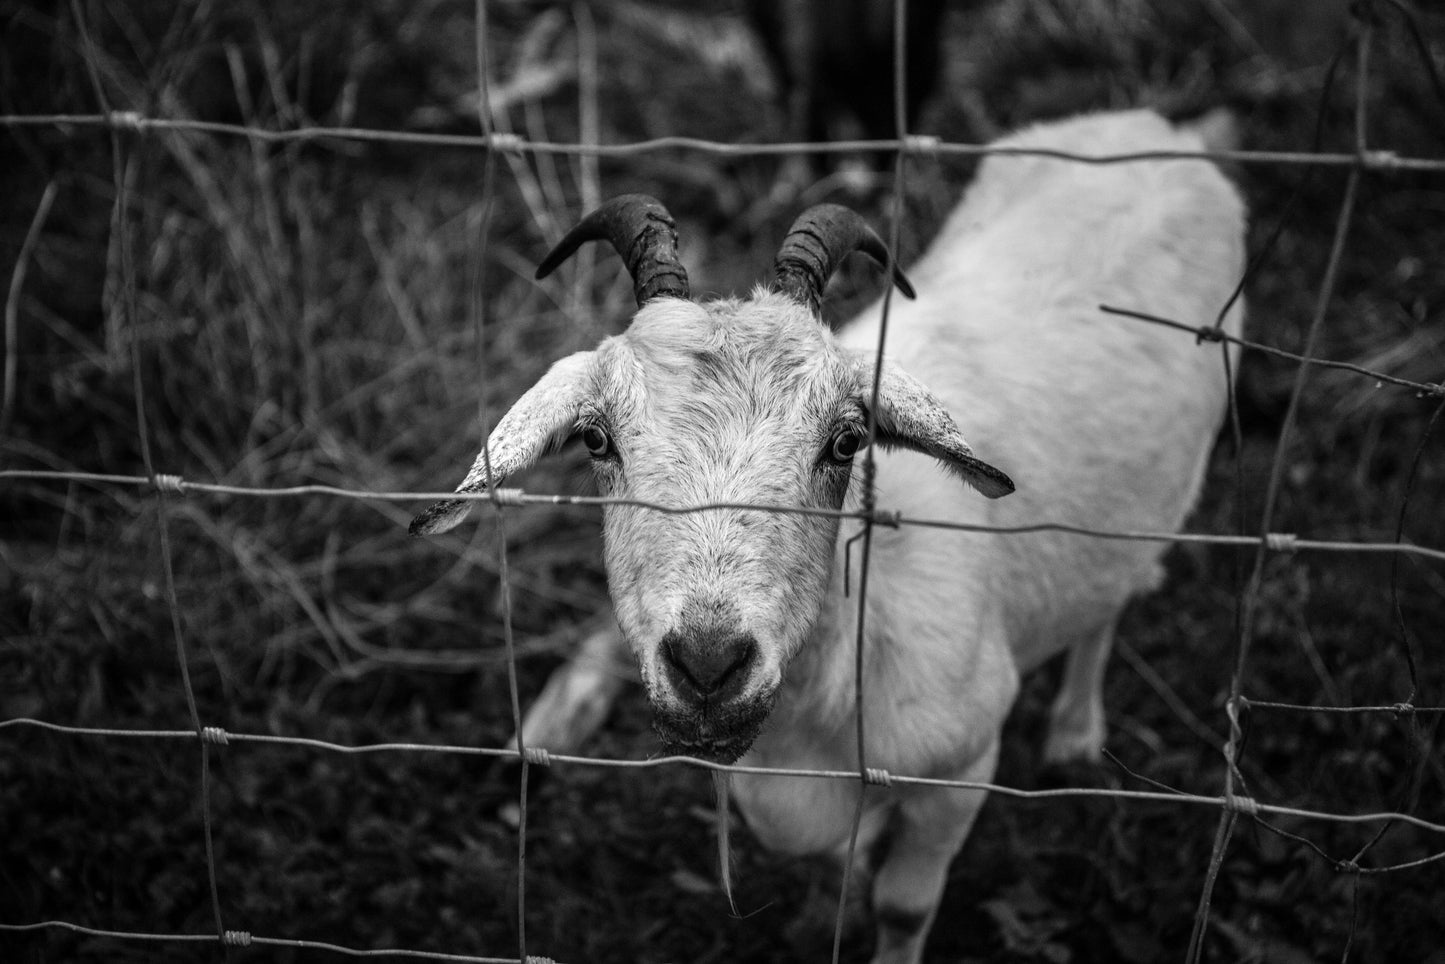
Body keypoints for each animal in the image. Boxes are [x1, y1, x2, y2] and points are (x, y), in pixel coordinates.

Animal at [411, 109, 1246, 963]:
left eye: (846, 442)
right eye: (595, 439)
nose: (707, 667)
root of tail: (1160, 128)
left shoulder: (961, 772)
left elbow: (903, 905)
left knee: (1113, 600)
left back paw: (1076, 732)